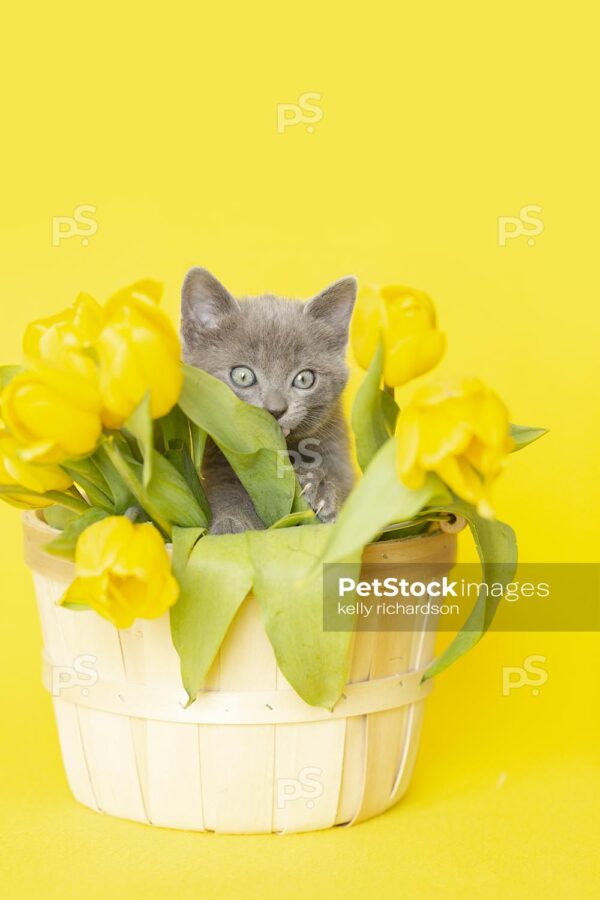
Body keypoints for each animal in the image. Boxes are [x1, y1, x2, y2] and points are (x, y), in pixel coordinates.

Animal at [178, 268, 356, 536]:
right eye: (242, 376)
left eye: (304, 379)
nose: (275, 409)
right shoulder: (217, 457)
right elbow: (227, 492)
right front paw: (231, 525)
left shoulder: (336, 446)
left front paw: (319, 489)